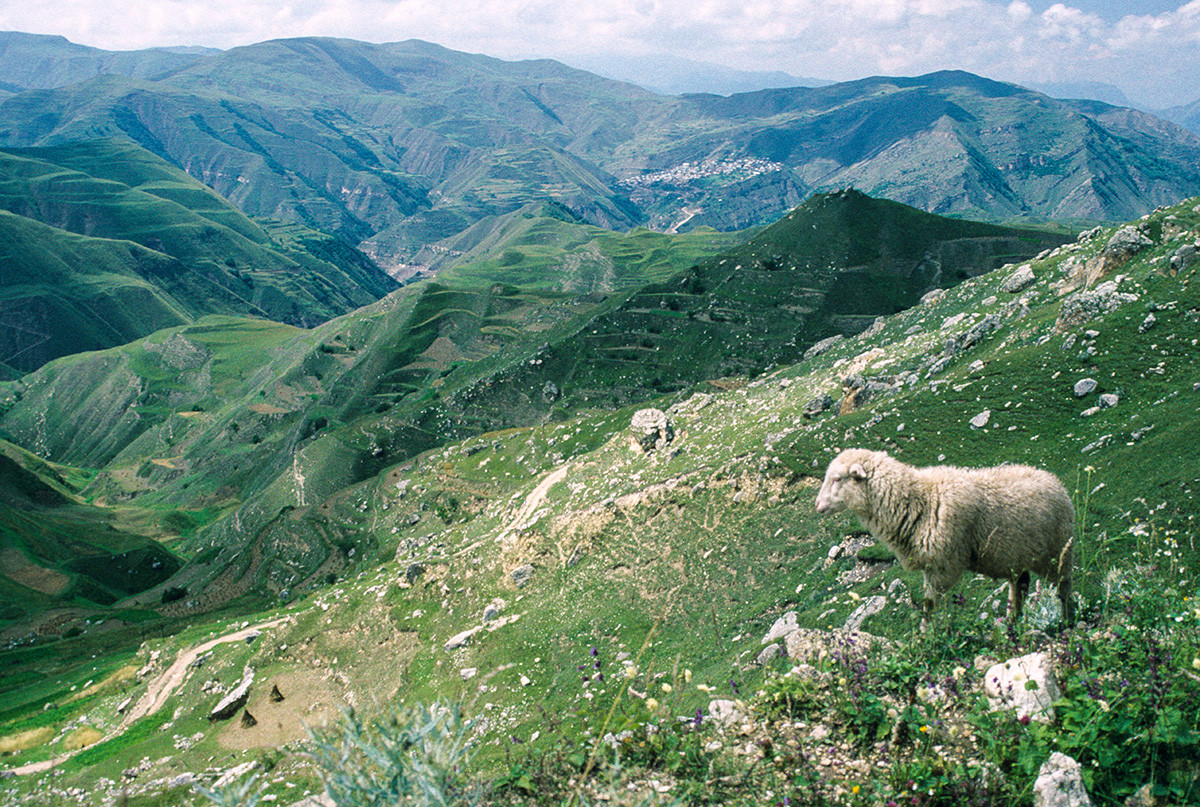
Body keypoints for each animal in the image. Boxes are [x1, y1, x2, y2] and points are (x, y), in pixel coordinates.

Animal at [816, 451, 1080, 629]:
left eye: (838, 479)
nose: (817, 505)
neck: (918, 499)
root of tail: (1054, 480)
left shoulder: (943, 567)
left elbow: (930, 606)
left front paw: (926, 638)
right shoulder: (931, 566)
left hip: (1058, 551)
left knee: (1064, 586)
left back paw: (1068, 619)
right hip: (1016, 557)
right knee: (1021, 585)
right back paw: (1012, 622)